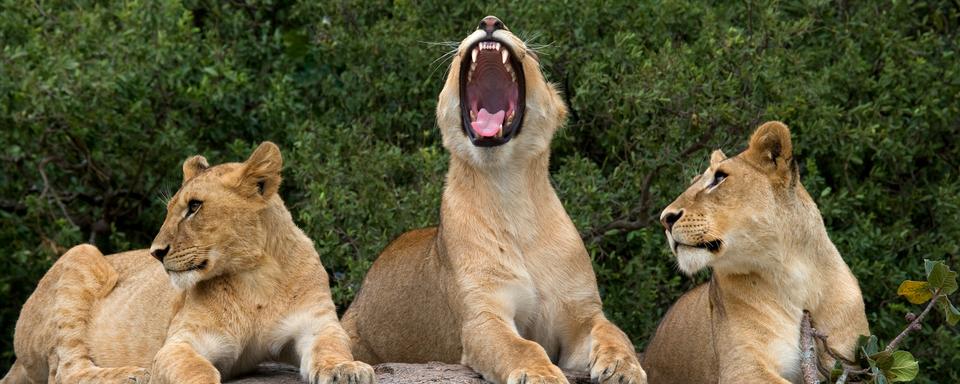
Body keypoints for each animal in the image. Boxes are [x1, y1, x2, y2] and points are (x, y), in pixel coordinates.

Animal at [1, 142, 374, 384]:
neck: (255, 277)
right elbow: (197, 370)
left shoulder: (317, 324)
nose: (155, 251)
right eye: (170, 210)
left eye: (194, 207)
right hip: (80, 253)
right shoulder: (179, 342)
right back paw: (134, 374)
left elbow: (331, 347)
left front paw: (347, 369)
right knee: (65, 372)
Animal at [342, 15, 648, 384]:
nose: (489, 21)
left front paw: (623, 366)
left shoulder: (580, 316)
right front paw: (542, 376)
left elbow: (613, 331)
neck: (508, 187)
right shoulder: (482, 317)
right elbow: (520, 347)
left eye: (533, 56)